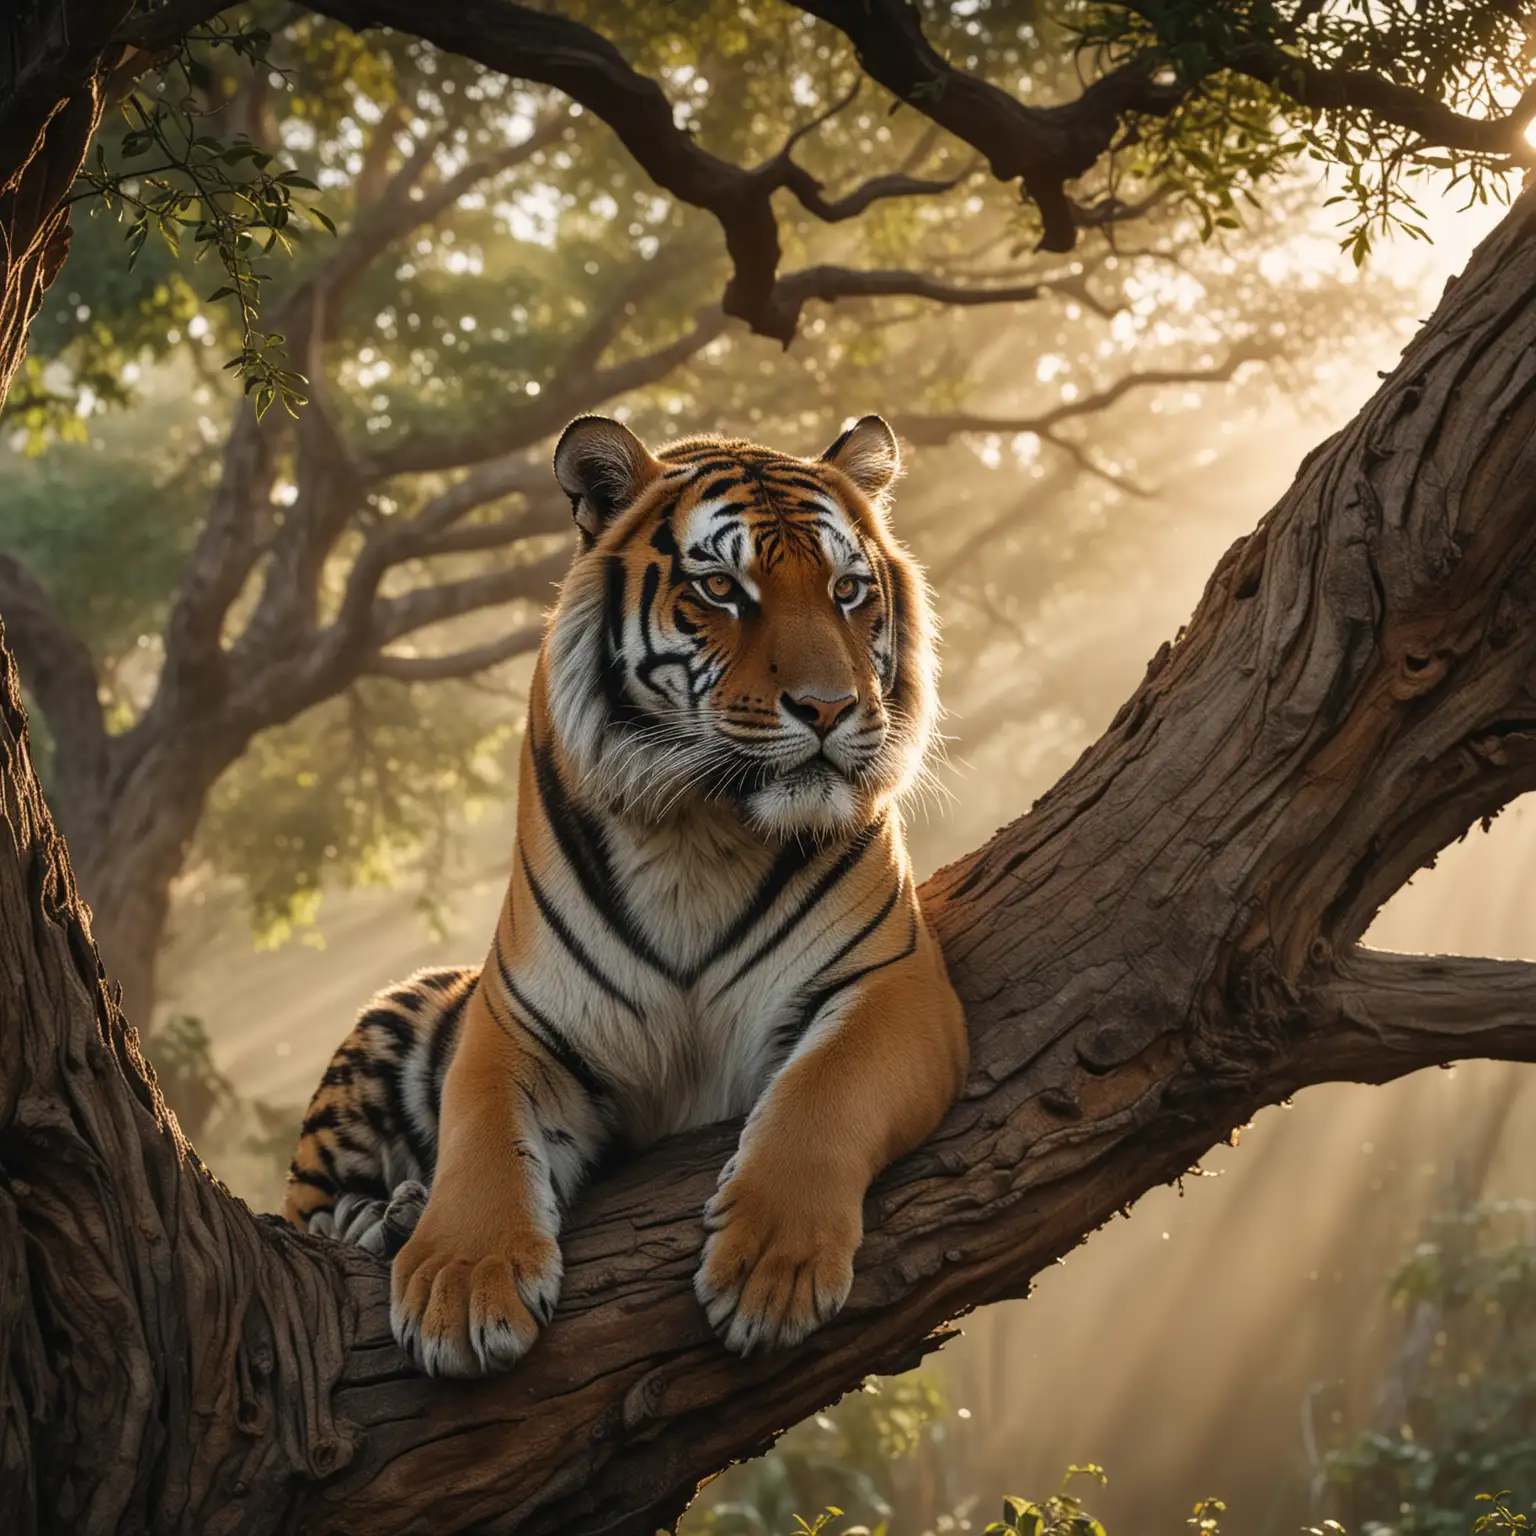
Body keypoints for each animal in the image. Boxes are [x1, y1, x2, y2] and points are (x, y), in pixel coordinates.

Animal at [282, 411, 964, 1382]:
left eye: (847, 591)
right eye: (720, 588)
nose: (831, 709)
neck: (701, 830)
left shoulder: (893, 983)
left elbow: (820, 1094)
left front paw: (771, 1265)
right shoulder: (518, 1021)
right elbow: (483, 1137)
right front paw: (463, 1283)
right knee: (306, 1213)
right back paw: (385, 1217)